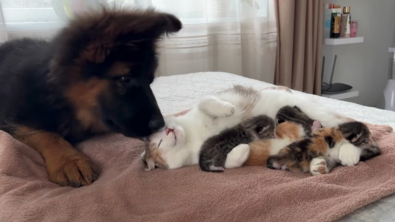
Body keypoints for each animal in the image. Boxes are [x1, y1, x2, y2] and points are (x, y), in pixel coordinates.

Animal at [0, 8, 183, 186]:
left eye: (150, 80)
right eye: (125, 79)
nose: (160, 125)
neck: (59, 97)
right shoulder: (10, 120)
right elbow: (45, 134)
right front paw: (69, 160)